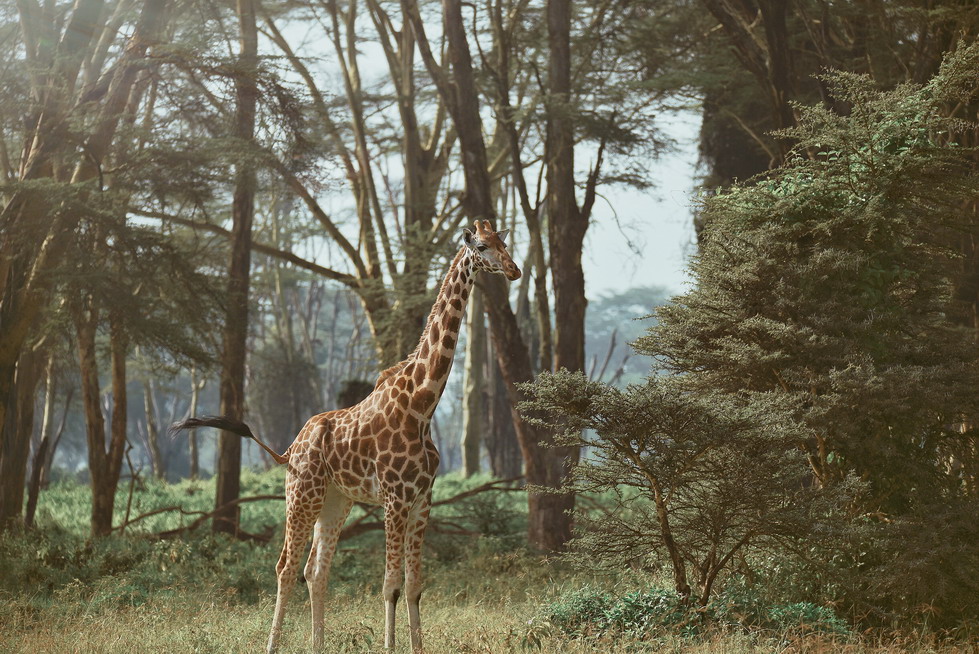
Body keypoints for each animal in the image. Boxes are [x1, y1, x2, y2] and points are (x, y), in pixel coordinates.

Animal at [173, 222, 520, 654]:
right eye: (484, 247)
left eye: (505, 243)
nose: (514, 270)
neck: (422, 405)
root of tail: (289, 449)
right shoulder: (395, 499)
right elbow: (390, 585)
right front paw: (389, 646)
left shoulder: (422, 500)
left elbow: (415, 586)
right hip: (301, 495)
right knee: (286, 566)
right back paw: (273, 645)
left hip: (335, 501)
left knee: (315, 570)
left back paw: (317, 644)